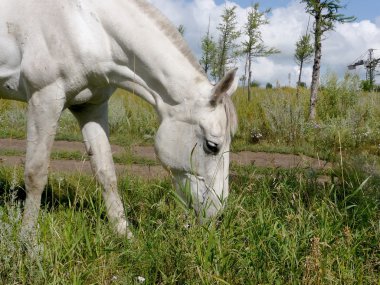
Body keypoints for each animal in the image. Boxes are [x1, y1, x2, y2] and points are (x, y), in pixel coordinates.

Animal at [0, 0, 238, 237]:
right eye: (212, 146)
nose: (216, 216)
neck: (86, 26)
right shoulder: (44, 99)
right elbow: (35, 174)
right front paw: (27, 239)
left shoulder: (91, 107)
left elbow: (106, 173)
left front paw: (124, 234)